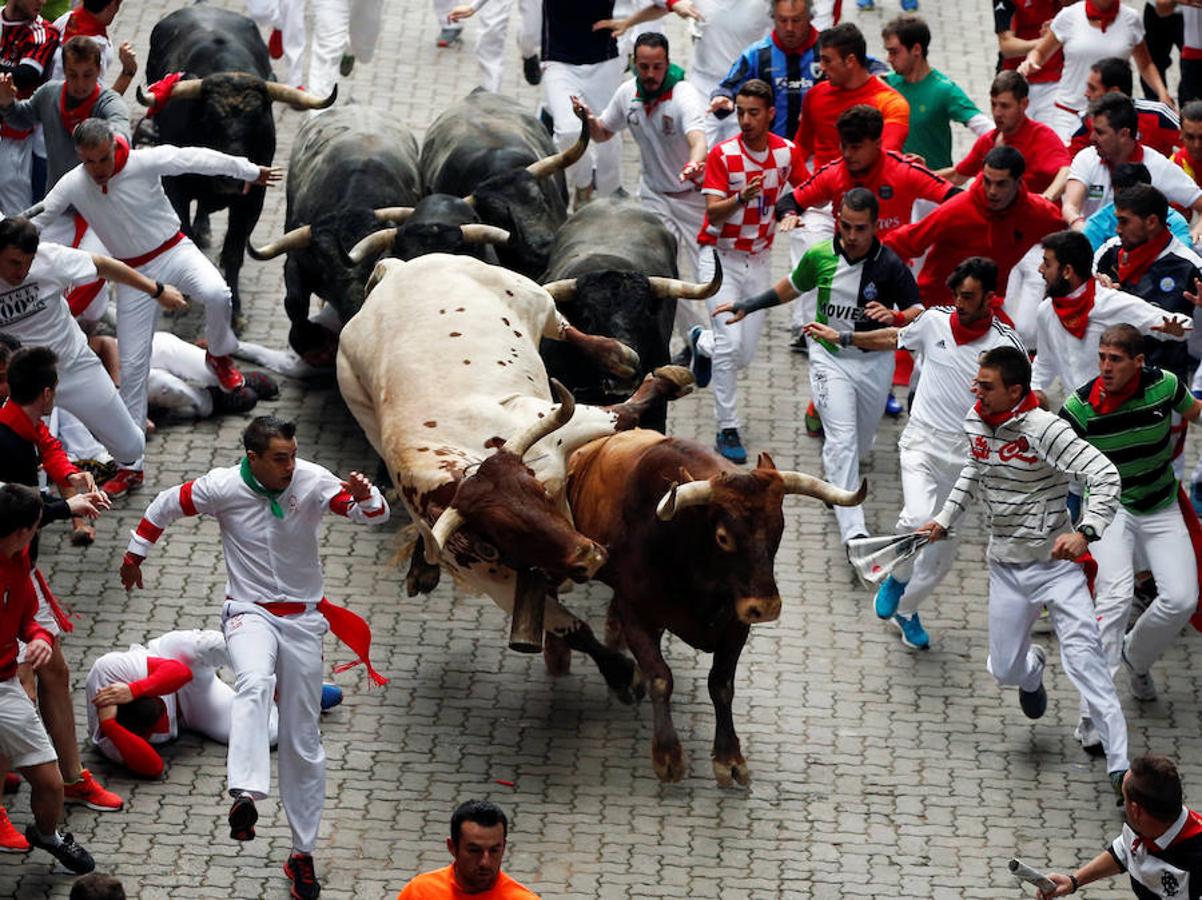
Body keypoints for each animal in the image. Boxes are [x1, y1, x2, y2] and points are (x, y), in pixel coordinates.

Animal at [562, 432, 865, 783]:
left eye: (779, 529)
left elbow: (721, 684)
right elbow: (660, 677)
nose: (766, 606)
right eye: (723, 537)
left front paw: (729, 757)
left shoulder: (736, 624)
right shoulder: (636, 612)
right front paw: (668, 755)